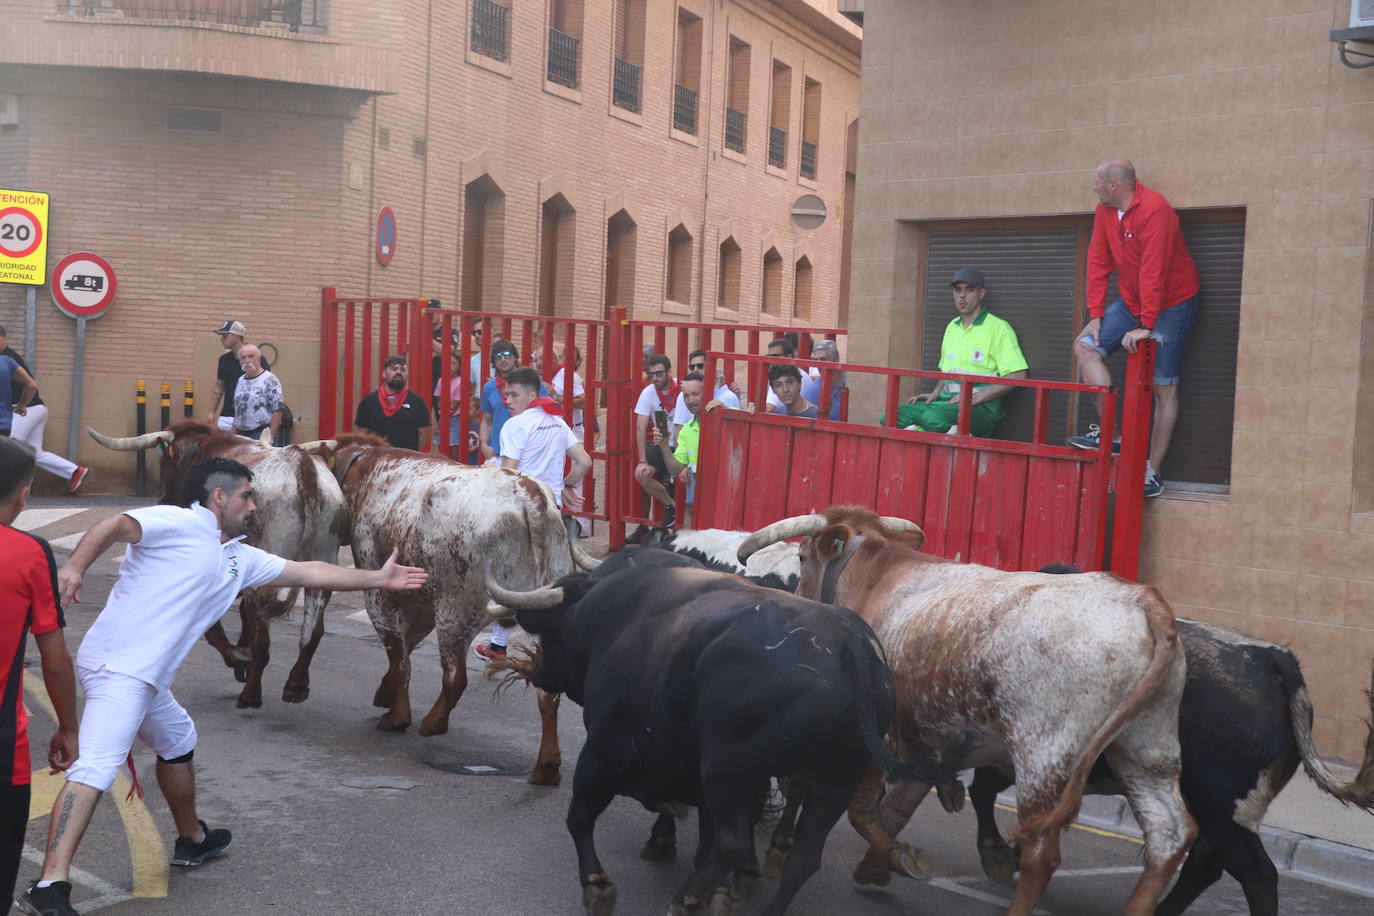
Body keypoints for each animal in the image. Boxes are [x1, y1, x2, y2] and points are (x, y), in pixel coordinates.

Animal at [87, 420, 348, 714]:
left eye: (165, 464)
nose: (164, 500)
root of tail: (303, 465)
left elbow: (214, 628)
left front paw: (239, 659)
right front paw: (242, 657)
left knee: (263, 636)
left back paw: (250, 694)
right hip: (322, 558)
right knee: (311, 630)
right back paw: (296, 685)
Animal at [324, 436, 604, 791]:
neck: (370, 471)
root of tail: (530, 497)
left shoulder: (379, 590)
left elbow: (398, 653)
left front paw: (396, 715)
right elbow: (405, 647)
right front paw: (386, 693)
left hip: (454, 610)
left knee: (455, 677)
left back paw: (432, 723)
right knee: (547, 693)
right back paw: (546, 768)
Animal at [489, 543, 950, 916]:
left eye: (550, 629)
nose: (541, 672)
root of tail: (850, 645)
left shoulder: (607, 745)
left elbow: (581, 814)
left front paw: (598, 885)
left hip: (728, 768)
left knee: (732, 841)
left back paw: (687, 897)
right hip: (833, 779)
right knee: (803, 857)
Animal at [736, 505, 1198, 916]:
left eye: (802, 557)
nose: (800, 601)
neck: (875, 579)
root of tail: (1141, 600)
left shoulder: (878, 734)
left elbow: (862, 811)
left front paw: (894, 857)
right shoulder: (927, 741)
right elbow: (894, 806)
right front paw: (881, 864)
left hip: (1045, 752)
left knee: (1041, 852)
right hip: (1147, 747)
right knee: (1168, 835)